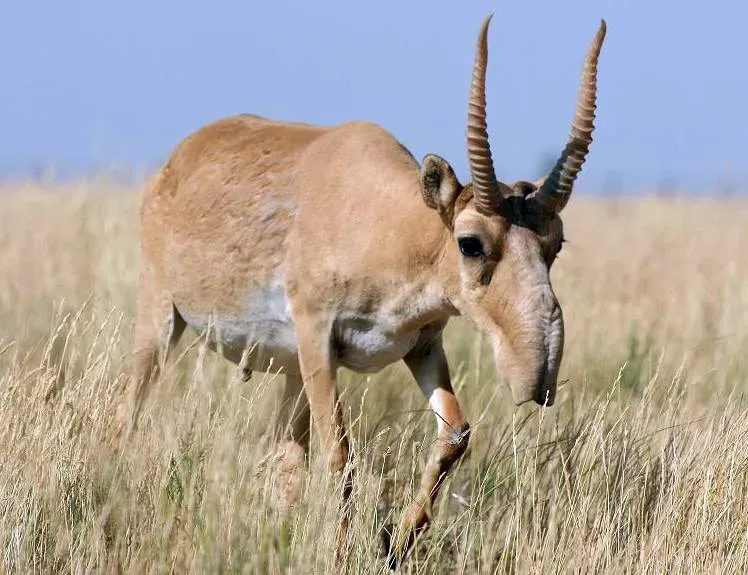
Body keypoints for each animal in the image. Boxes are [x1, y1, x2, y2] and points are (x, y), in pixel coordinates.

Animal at [121, 13, 606, 568]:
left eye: (555, 241)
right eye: (470, 242)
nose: (538, 373)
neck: (388, 222)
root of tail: (179, 159)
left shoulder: (422, 346)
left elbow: (454, 434)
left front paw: (395, 543)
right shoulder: (318, 339)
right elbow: (339, 453)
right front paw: (342, 551)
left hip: (291, 372)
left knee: (285, 458)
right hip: (162, 322)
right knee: (130, 410)